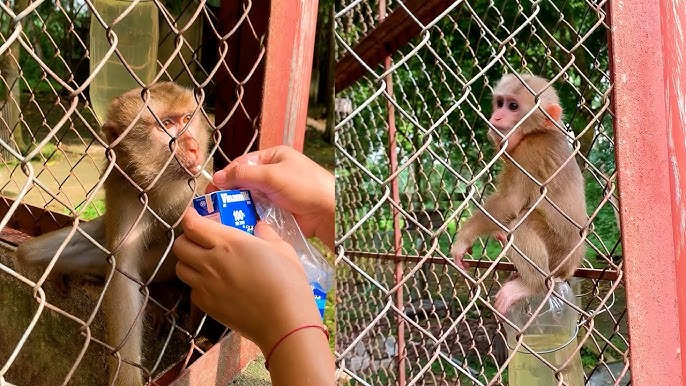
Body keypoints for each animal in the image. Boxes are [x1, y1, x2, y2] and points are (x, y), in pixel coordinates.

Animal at [16, 82, 210, 386]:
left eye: (187, 118)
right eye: (166, 124)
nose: (192, 147)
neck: (161, 185)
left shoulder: (198, 184)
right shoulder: (123, 188)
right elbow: (123, 271)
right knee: (30, 251)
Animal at [454, 74, 588, 316]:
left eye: (513, 106)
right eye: (500, 103)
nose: (496, 116)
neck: (539, 132)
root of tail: (571, 265)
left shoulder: (529, 152)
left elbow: (510, 202)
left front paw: (464, 237)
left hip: (558, 252)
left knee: (520, 224)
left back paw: (531, 285)